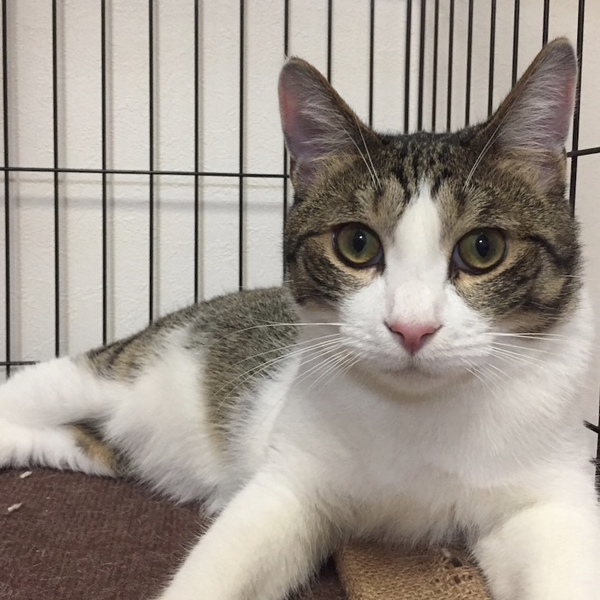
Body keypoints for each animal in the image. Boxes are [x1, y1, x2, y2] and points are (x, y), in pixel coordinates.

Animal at [1, 37, 599, 600]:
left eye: (483, 248)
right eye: (357, 244)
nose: (411, 327)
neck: (417, 413)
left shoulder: (547, 492)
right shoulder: (291, 478)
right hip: (111, 372)